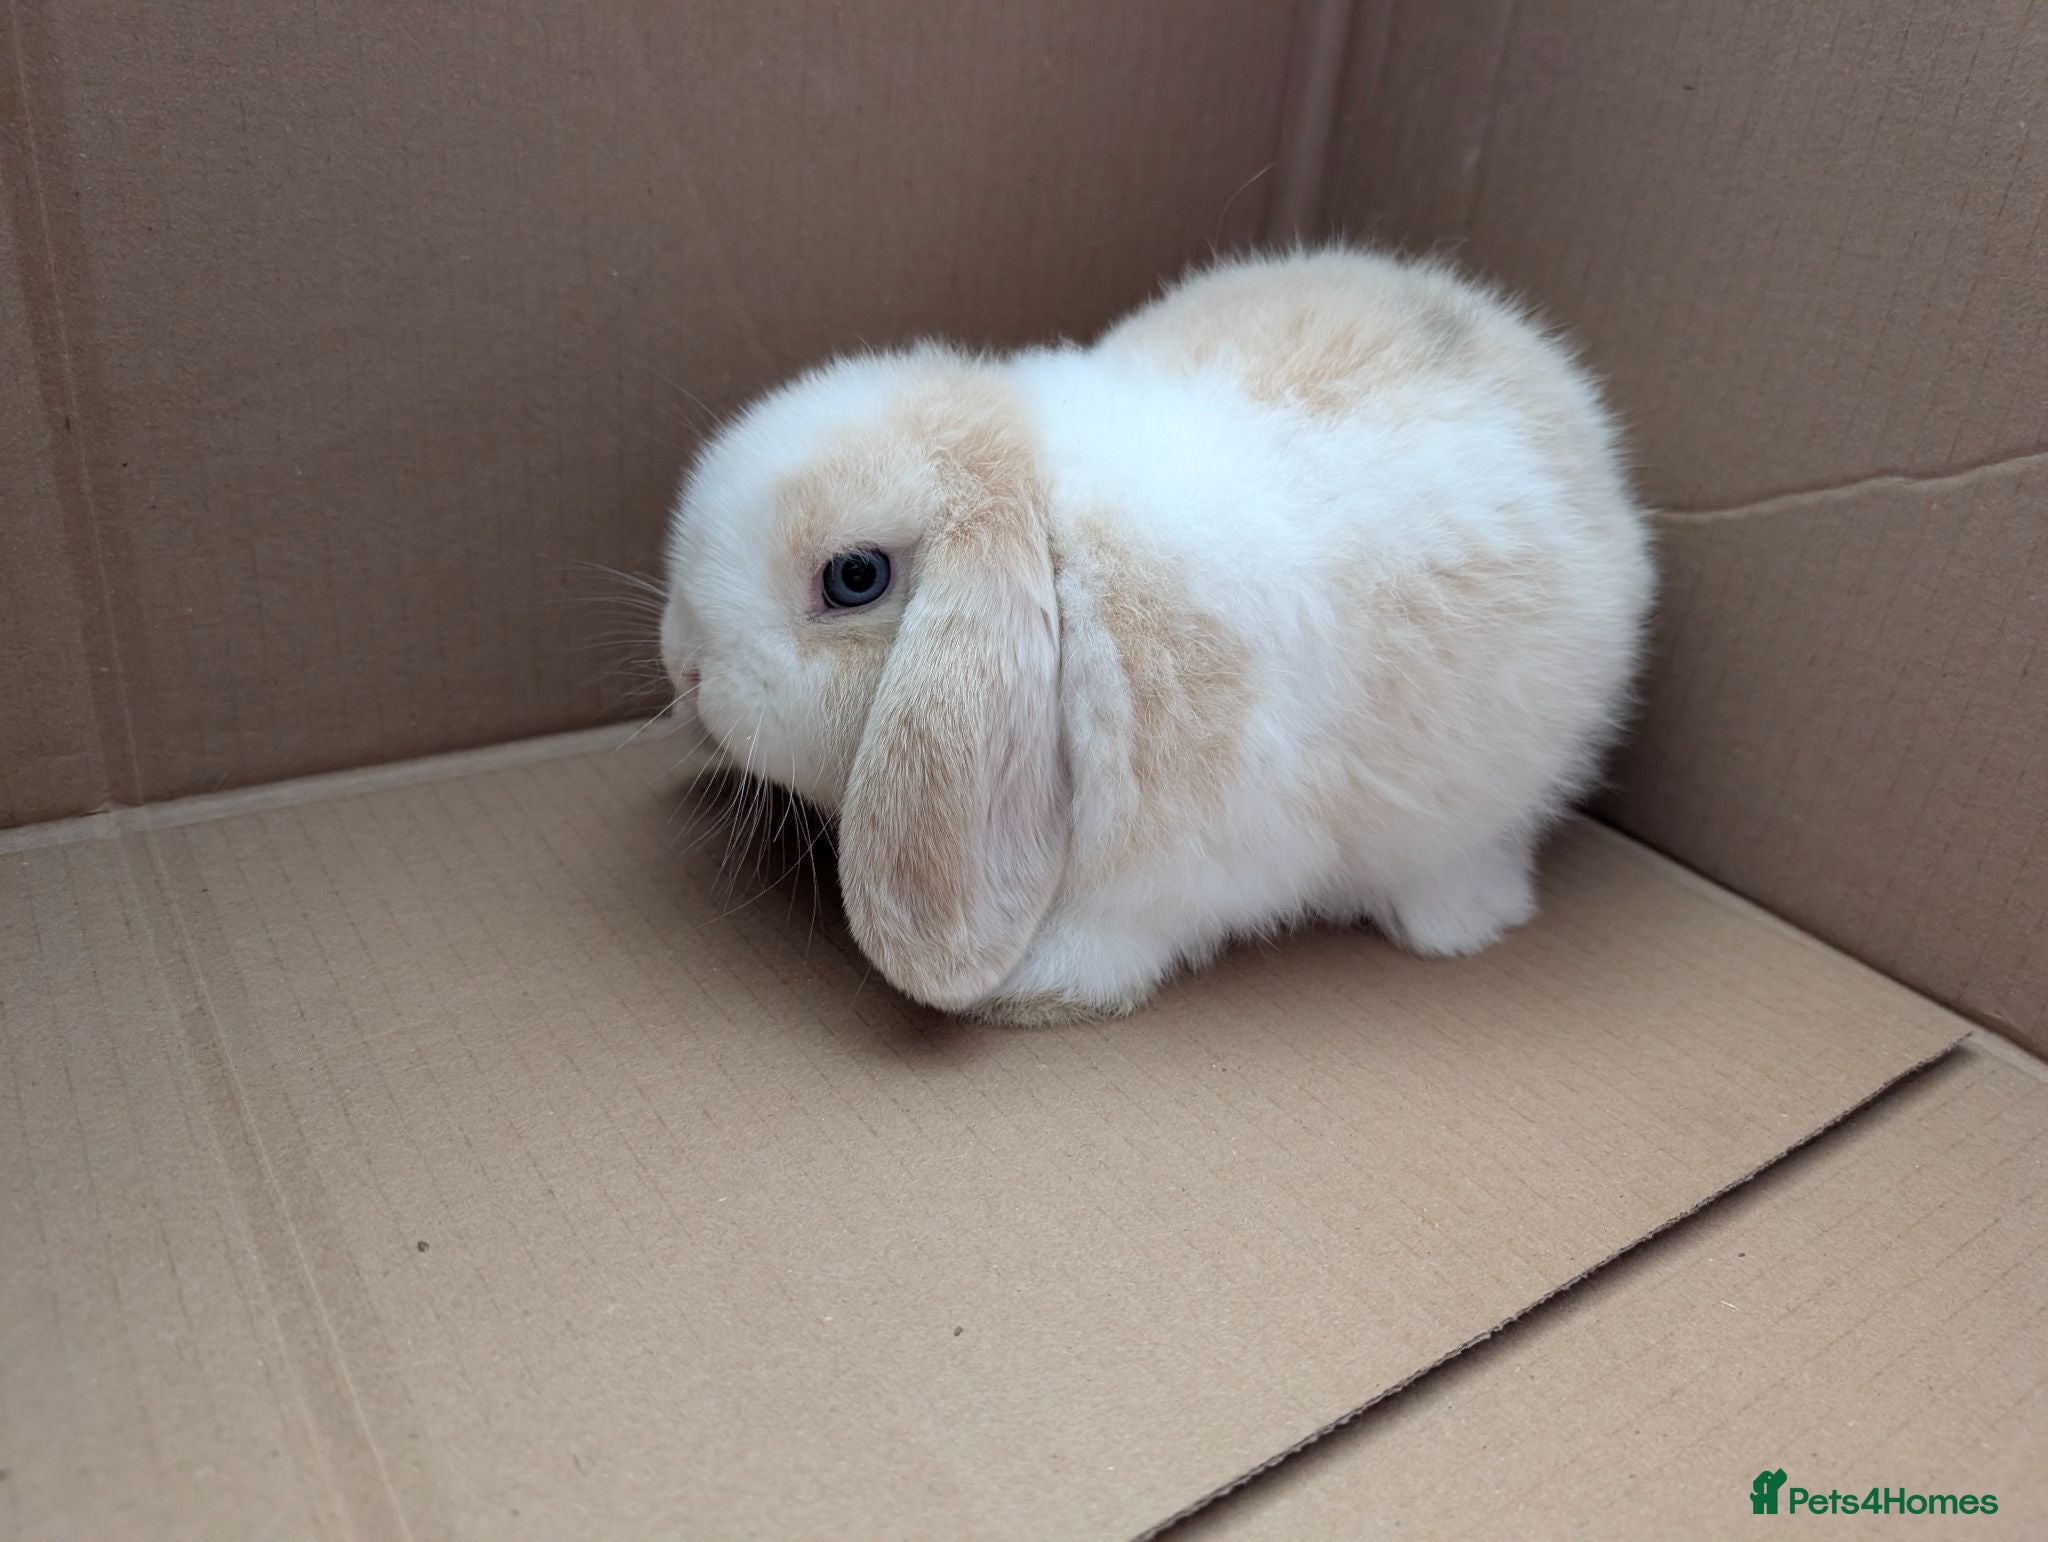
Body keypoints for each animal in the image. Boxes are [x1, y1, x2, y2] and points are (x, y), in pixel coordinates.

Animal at [657, 246, 1654, 1024]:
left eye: (854, 577)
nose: (685, 668)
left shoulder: (1177, 871)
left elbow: (1120, 933)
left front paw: (1030, 993)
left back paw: (1456, 924)